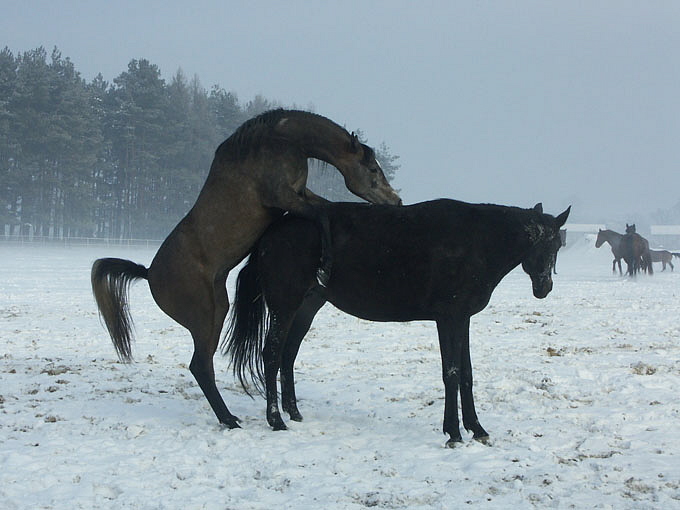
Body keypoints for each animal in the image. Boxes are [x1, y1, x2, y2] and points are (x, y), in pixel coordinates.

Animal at [88, 109, 402, 428]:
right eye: (373, 169)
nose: (396, 200)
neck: (282, 141)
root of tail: (148, 272)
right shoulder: (283, 196)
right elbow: (323, 215)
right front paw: (325, 265)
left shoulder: (301, 193)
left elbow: (326, 207)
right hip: (204, 318)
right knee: (200, 366)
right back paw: (229, 419)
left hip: (219, 310)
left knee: (202, 364)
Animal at [222, 199, 568, 446]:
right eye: (538, 243)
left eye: (557, 245)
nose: (544, 287)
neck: (475, 242)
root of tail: (272, 231)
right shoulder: (449, 318)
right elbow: (452, 374)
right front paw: (454, 433)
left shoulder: (463, 319)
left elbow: (467, 375)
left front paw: (477, 429)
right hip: (285, 305)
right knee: (271, 355)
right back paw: (276, 420)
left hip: (306, 307)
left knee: (288, 355)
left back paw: (294, 412)